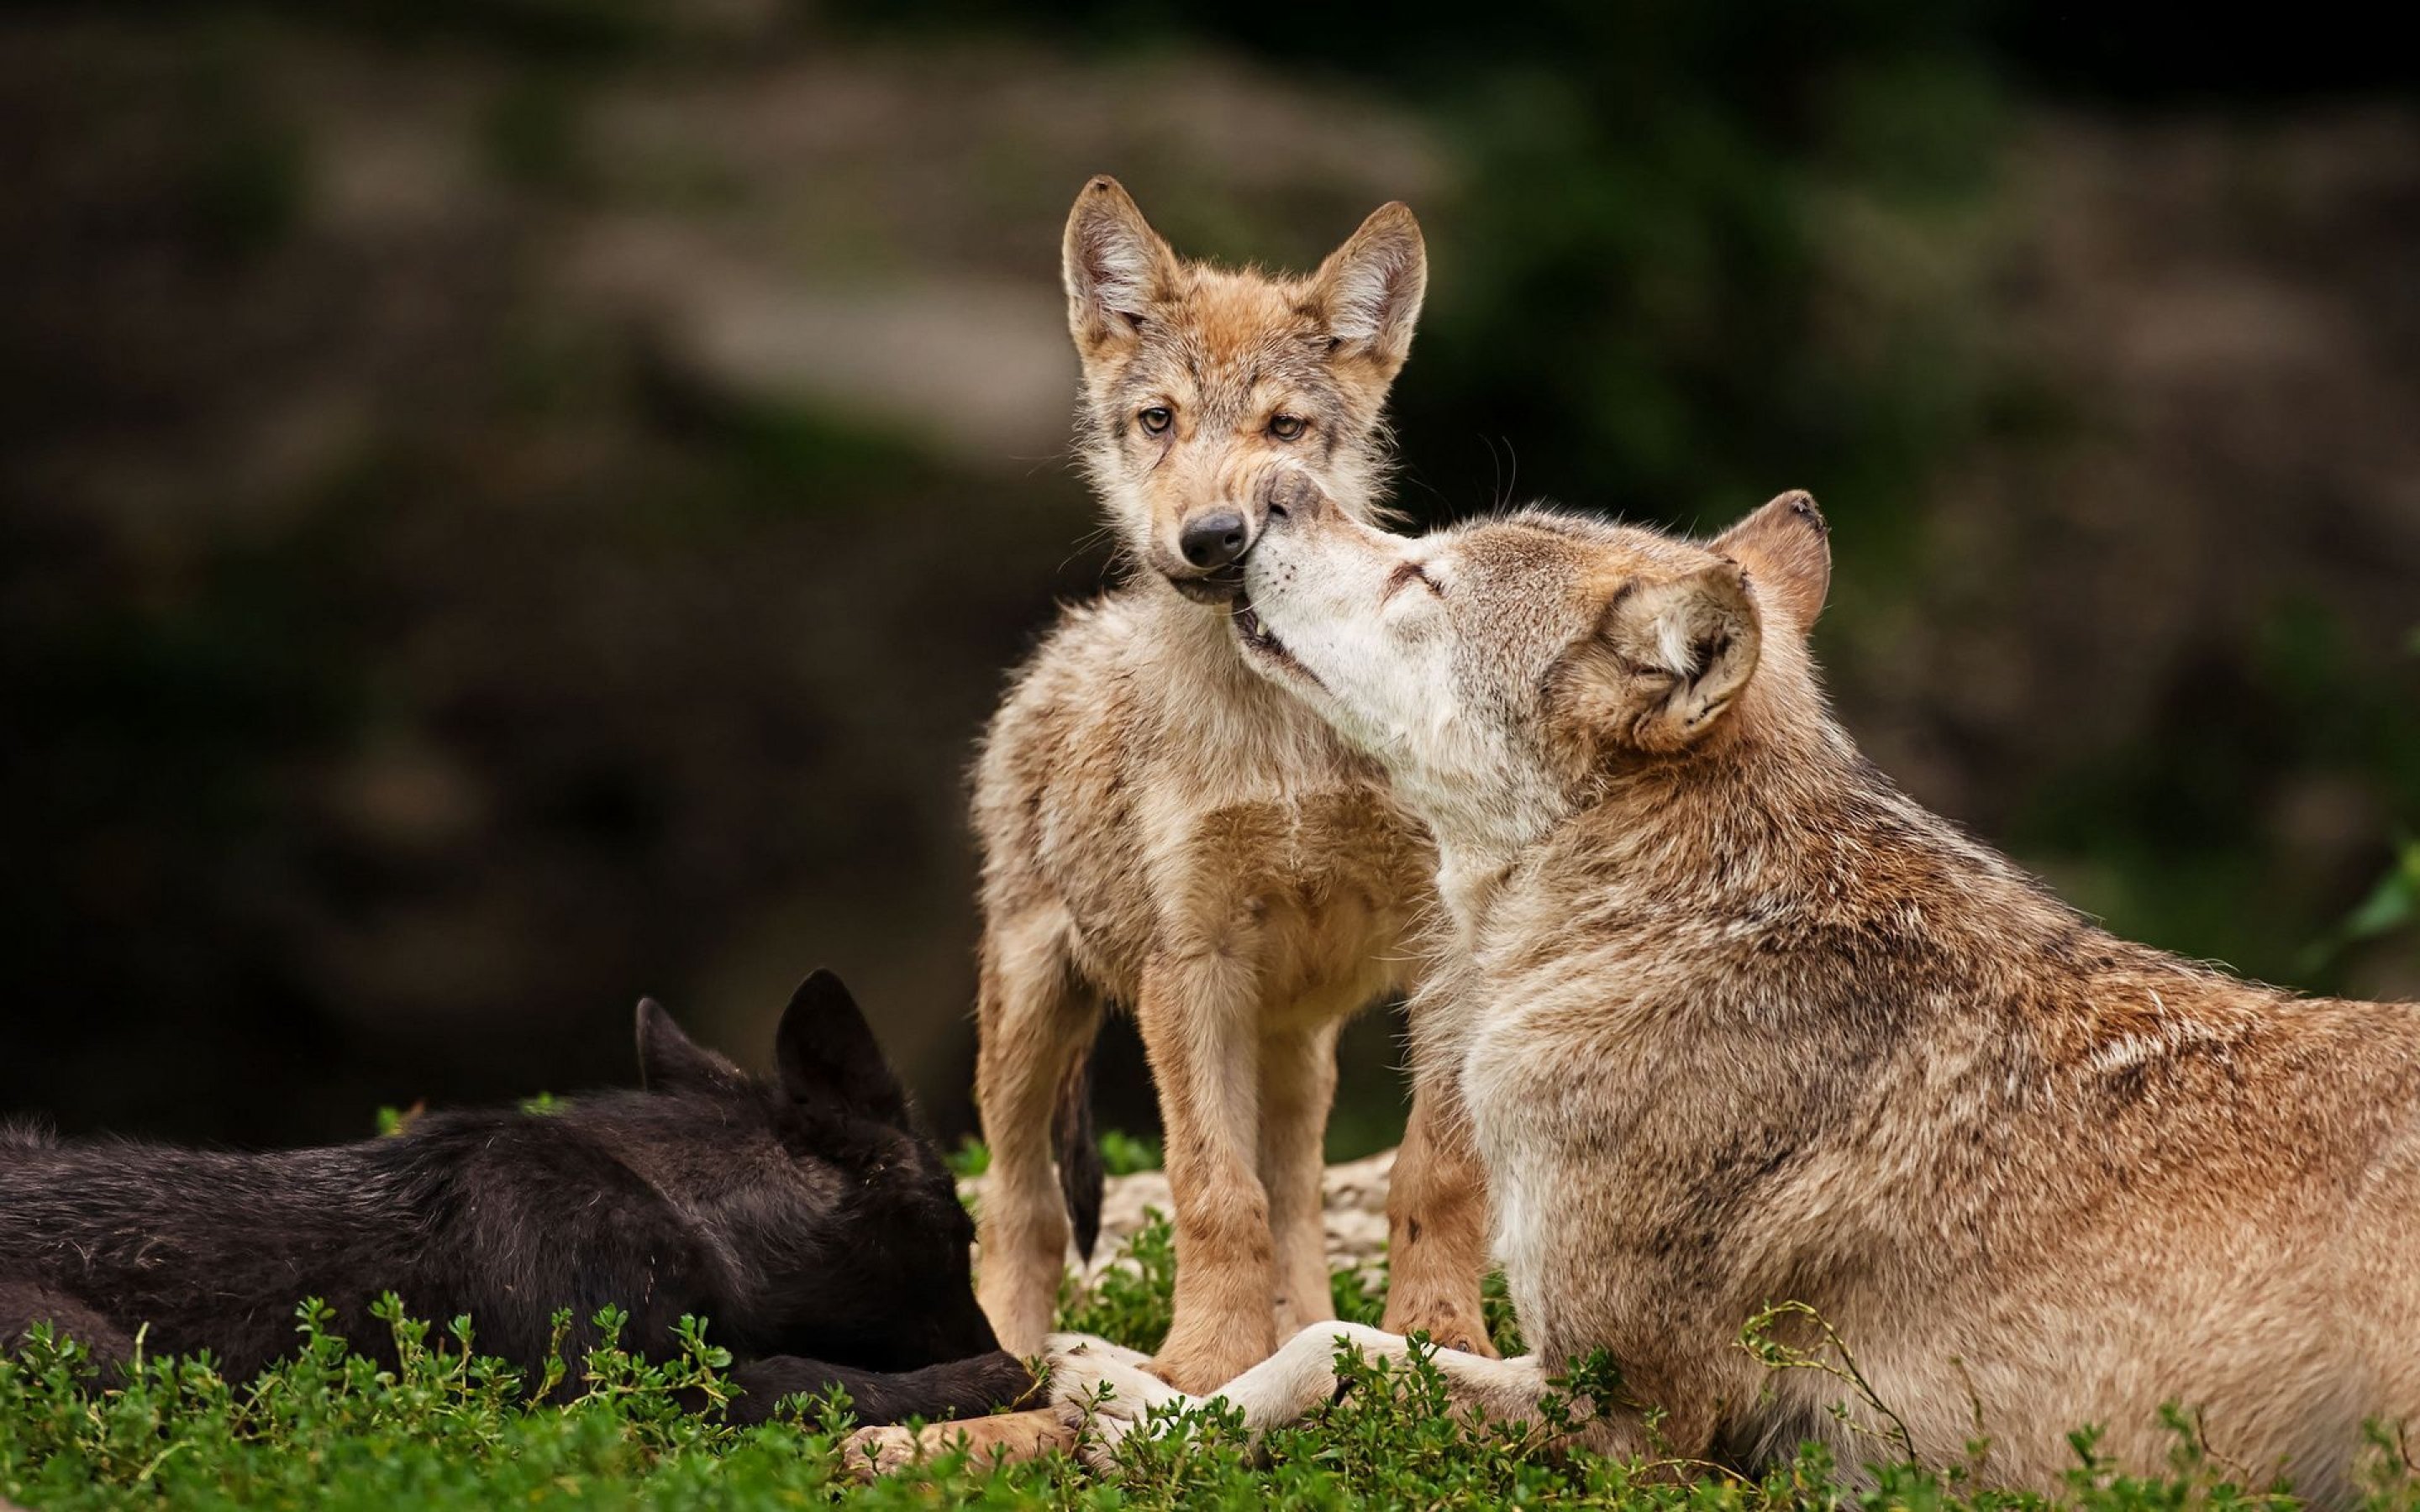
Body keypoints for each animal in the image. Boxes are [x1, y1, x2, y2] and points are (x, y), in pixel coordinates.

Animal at [968, 176, 1491, 1393]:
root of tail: (1064, 647)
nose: (1216, 536)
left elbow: (1431, 1175)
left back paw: (1308, 1339)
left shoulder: (1442, 953)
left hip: (1291, 1039)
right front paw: (1203, 1369)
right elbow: (1214, 1193)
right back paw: (1006, 1366)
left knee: (1296, 1193)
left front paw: (1445, 1340)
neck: (1283, 731)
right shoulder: (1189, 965)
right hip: (1032, 1015)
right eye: (1159, 421)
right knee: (1019, 1214)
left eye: (1282, 430)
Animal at [1055, 486, 2420, 1499]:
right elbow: (1322, 1337)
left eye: (1421, 578)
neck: (1670, 931)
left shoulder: (1636, 1419)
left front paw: (1128, 1409)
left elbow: (1331, 1350)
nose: (1272, 494)